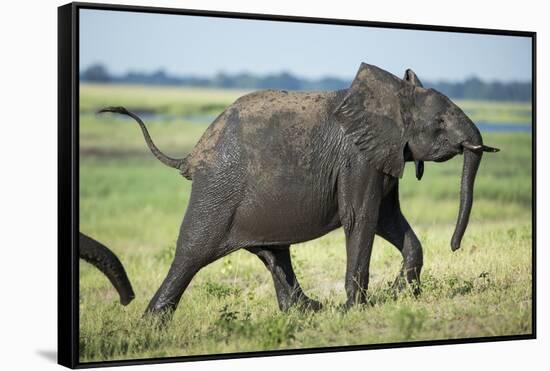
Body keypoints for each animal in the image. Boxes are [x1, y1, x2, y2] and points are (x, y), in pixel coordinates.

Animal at [99, 62, 500, 318]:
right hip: (218, 188)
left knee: (273, 251)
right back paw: (152, 325)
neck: (391, 95)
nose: (455, 246)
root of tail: (193, 154)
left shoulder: (383, 156)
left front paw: (401, 293)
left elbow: (388, 219)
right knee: (193, 251)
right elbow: (362, 218)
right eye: (441, 121)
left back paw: (306, 312)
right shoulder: (357, 159)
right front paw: (355, 311)